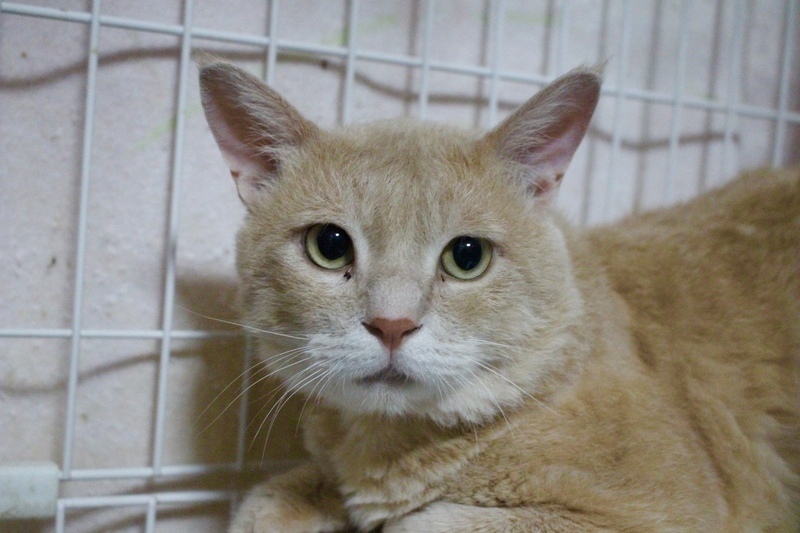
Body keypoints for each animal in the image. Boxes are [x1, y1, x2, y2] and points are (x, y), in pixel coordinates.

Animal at [198, 60, 800, 532]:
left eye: (467, 257)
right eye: (329, 245)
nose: (392, 324)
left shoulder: (658, 511)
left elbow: (426, 522)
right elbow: (267, 499)